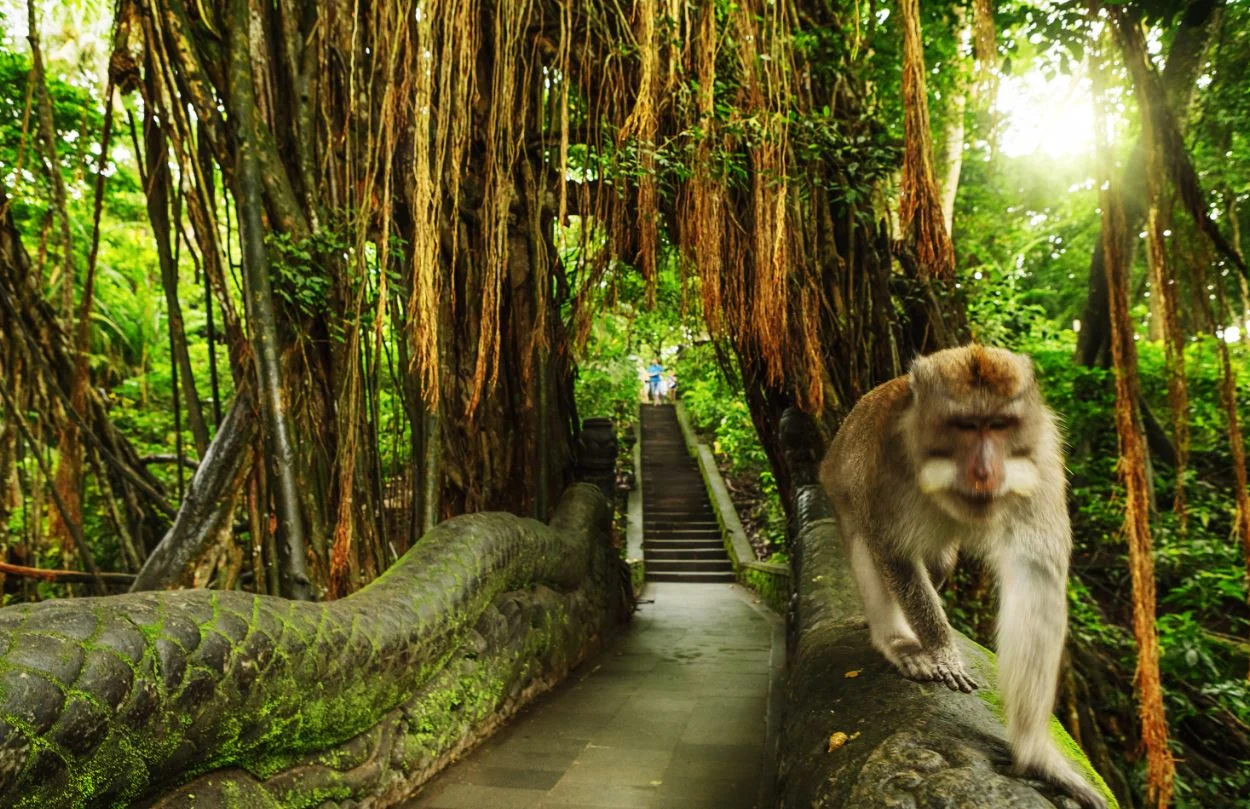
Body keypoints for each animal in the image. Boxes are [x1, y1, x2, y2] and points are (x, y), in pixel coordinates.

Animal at [820, 344, 1106, 809]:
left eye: (1000, 425)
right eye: (965, 425)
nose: (985, 471)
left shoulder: (1042, 458)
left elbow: (1036, 575)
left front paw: (1035, 753)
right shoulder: (886, 460)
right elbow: (892, 550)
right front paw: (940, 649)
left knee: (937, 565)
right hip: (839, 489)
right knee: (867, 542)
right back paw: (896, 640)